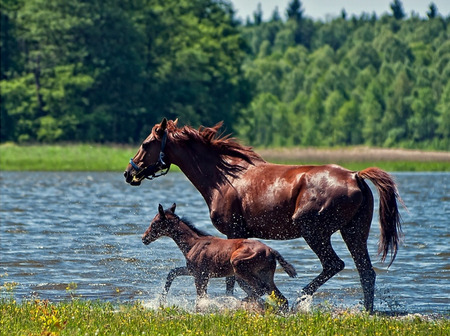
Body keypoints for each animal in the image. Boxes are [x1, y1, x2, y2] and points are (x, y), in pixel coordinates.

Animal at [124, 118, 404, 312]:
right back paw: (366, 310)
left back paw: (299, 300)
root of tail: (356, 175)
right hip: (354, 232)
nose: (129, 173)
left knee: (334, 264)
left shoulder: (234, 232)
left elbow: (231, 281)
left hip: (314, 231)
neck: (222, 178)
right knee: (366, 271)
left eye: (146, 144)